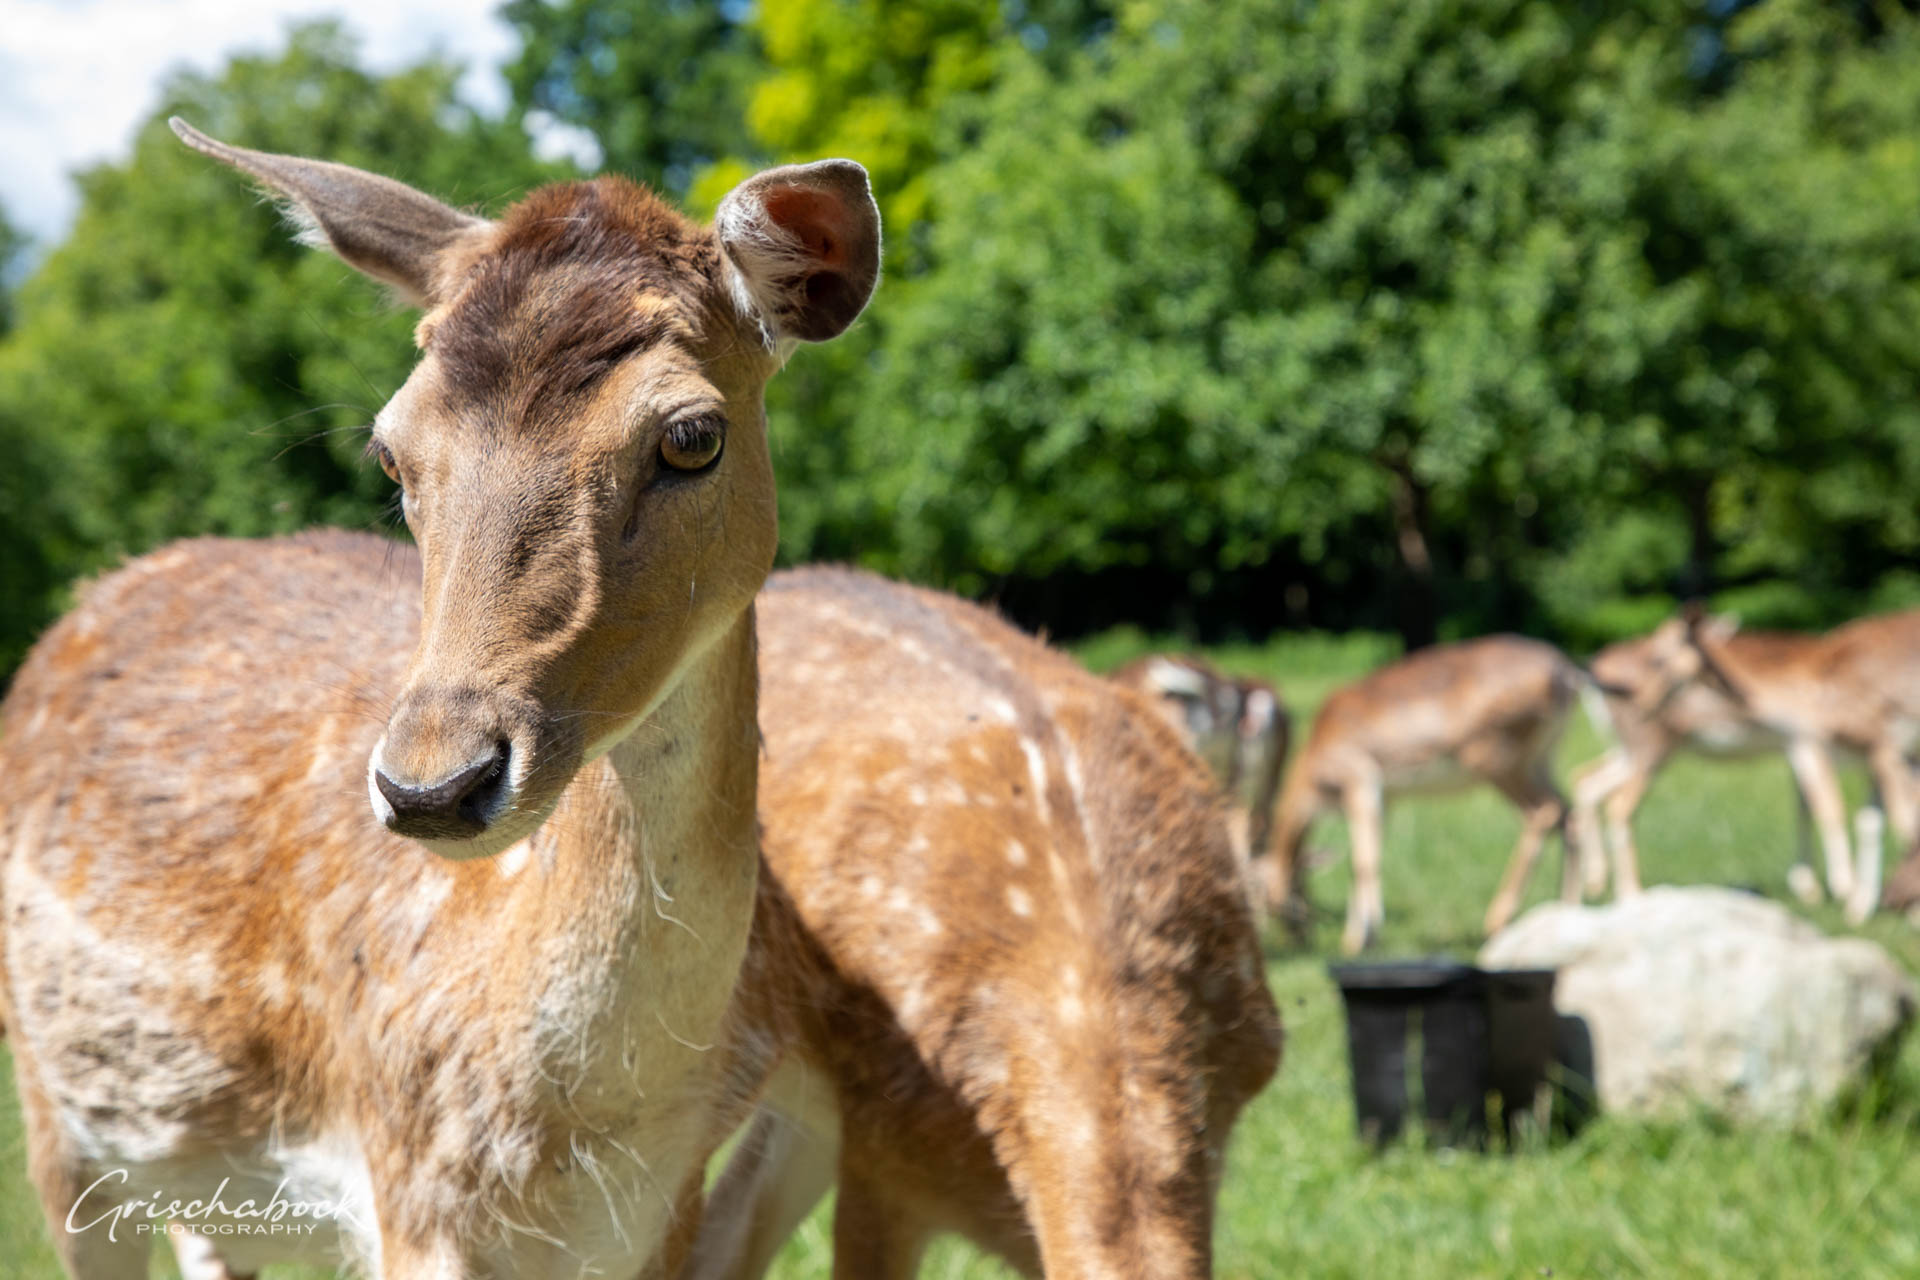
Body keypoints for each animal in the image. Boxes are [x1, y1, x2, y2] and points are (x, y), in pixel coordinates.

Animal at [0, 122, 883, 1280]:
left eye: (694, 435)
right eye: (389, 449)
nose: (433, 785)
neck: (596, 1141)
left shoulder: (670, 1214)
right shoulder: (411, 1180)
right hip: (54, 1120)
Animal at [1259, 637, 1589, 955]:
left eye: (1266, 896)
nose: (1299, 938)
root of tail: (1565, 674)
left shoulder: (1359, 777)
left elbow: (1364, 861)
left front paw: (1361, 940)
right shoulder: (1387, 797)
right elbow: (1363, 857)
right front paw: (1358, 939)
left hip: (1496, 755)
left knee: (1544, 812)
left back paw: (1497, 921)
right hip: (1542, 756)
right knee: (1569, 813)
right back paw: (1565, 915)